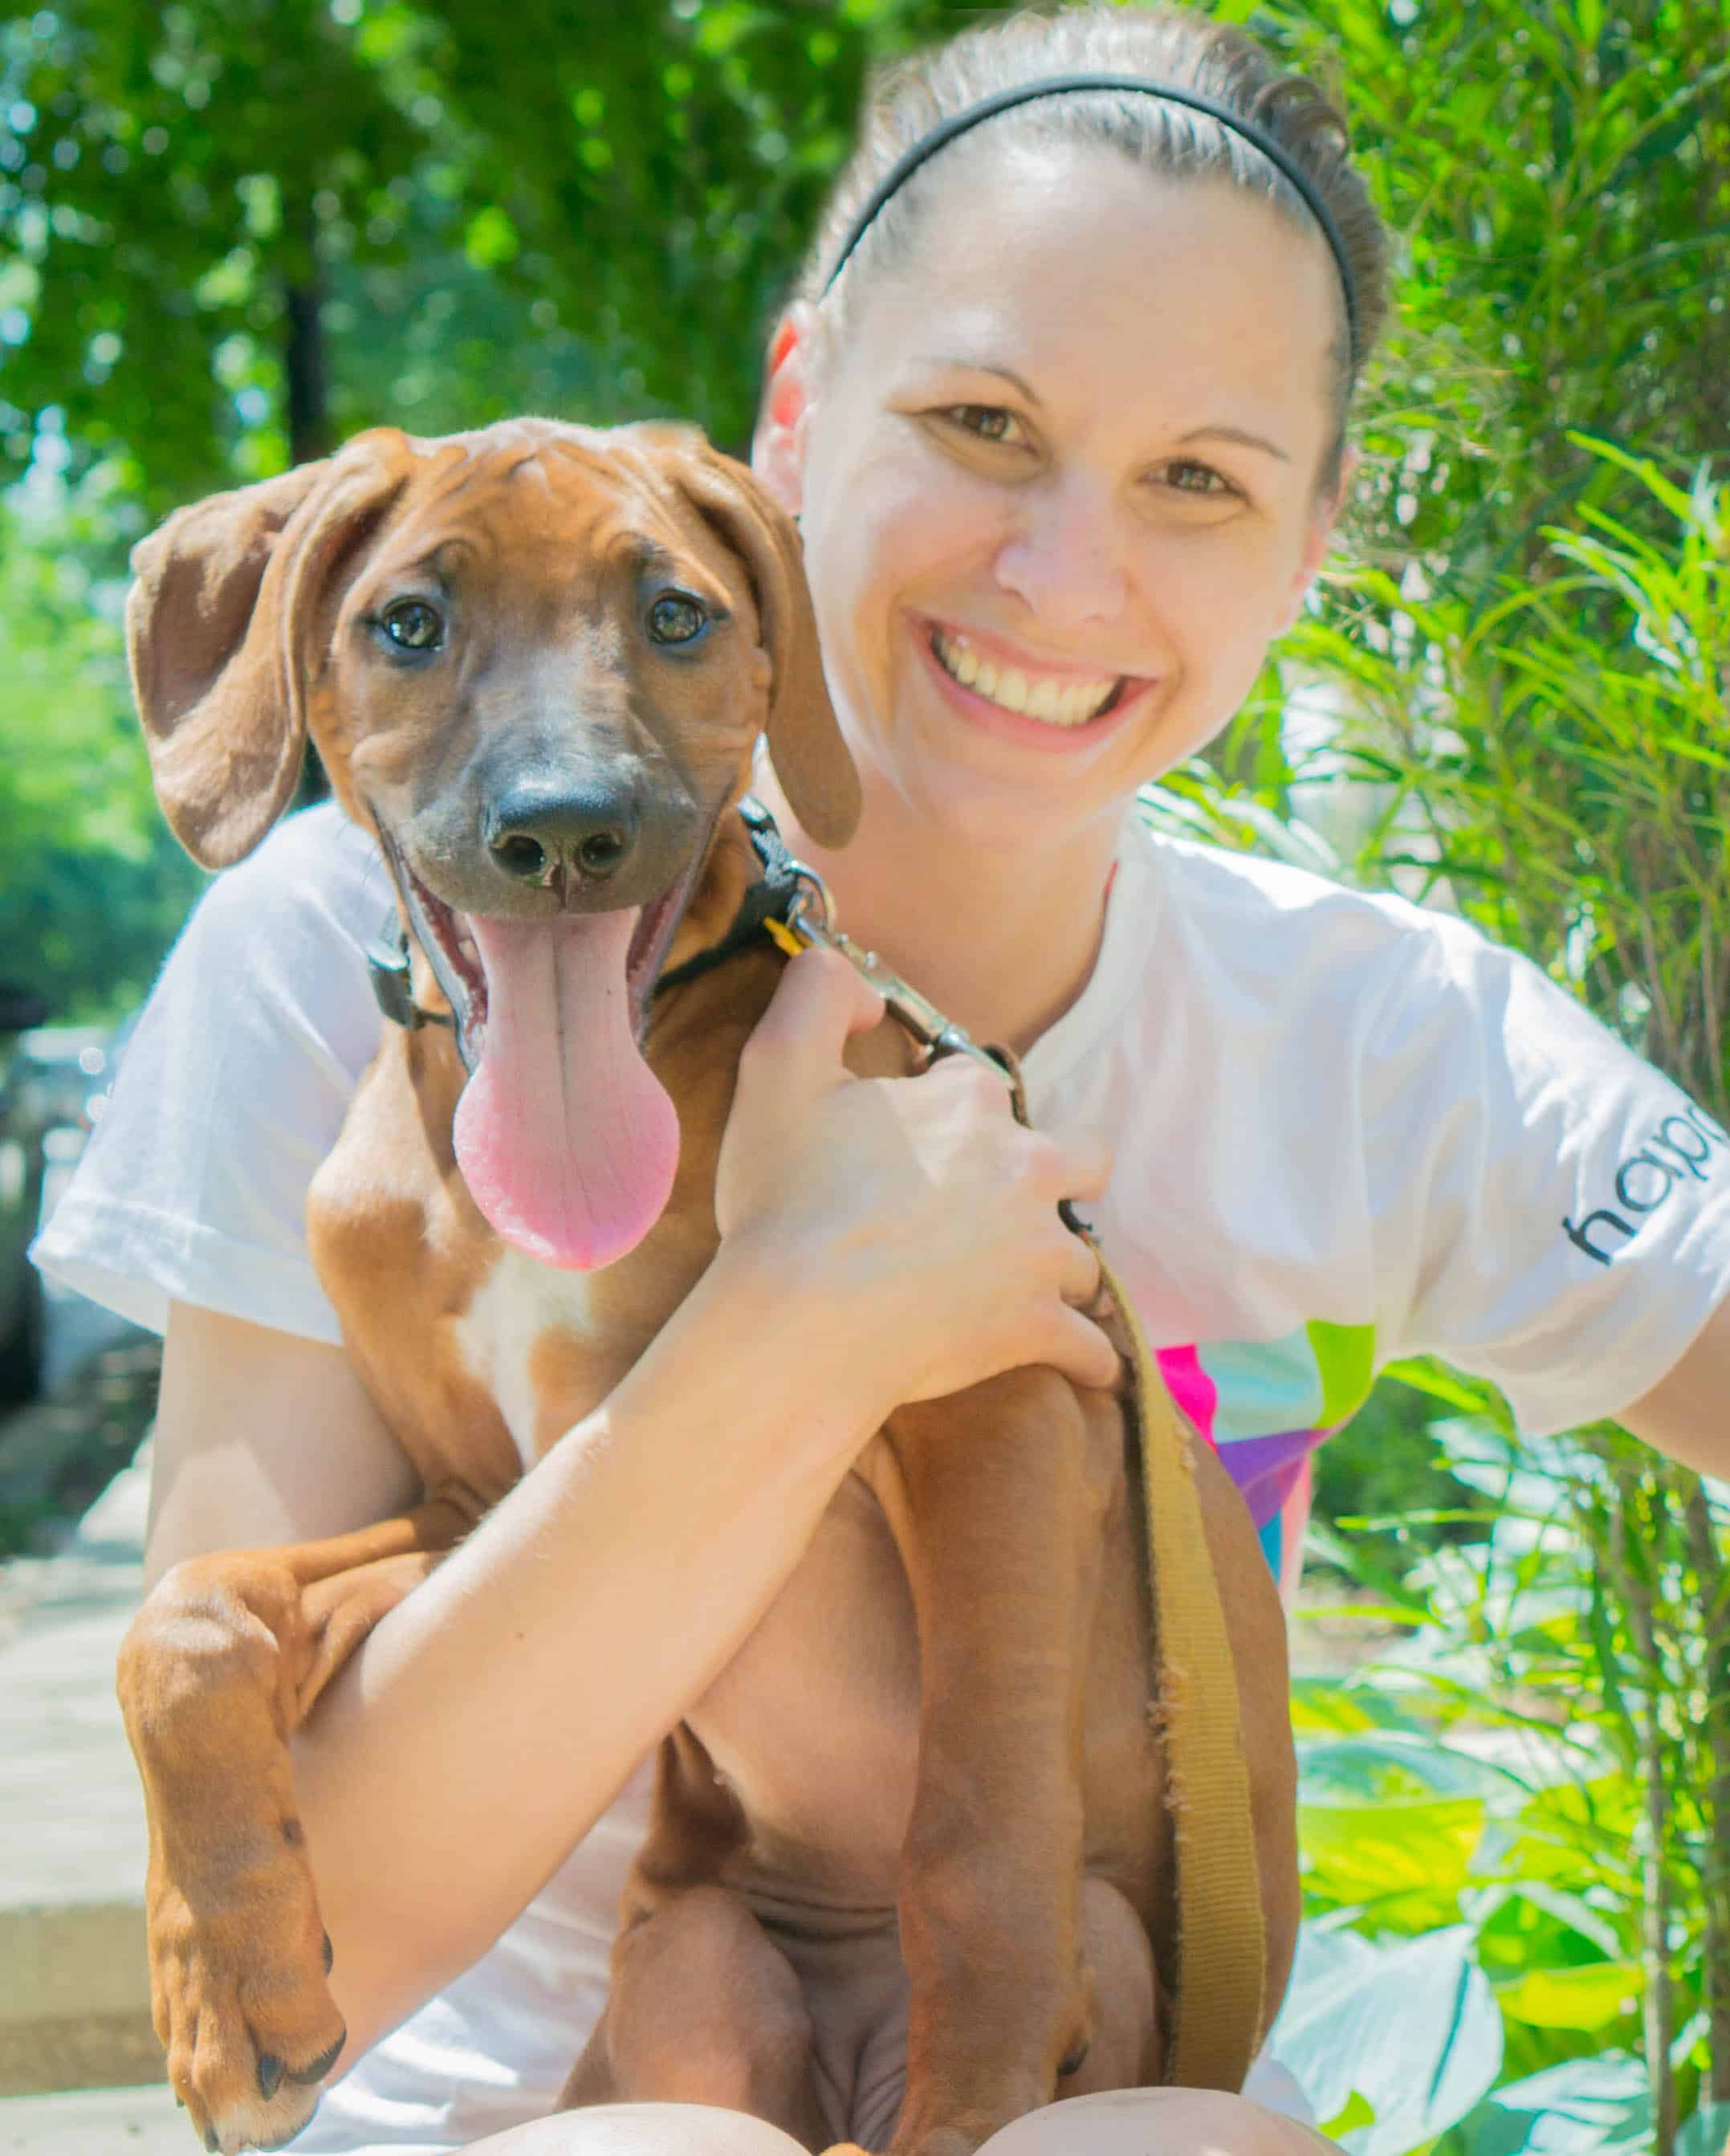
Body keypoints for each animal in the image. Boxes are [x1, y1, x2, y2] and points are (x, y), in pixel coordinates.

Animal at [115, 420, 1301, 2156]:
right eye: (409, 623)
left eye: (675, 615)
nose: (565, 832)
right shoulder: (482, 1502)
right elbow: (190, 1616)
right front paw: (224, 1991)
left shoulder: (1002, 1405)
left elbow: (978, 1836)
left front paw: (973, 2099)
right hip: (694, 1965)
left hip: (1118, 1945)